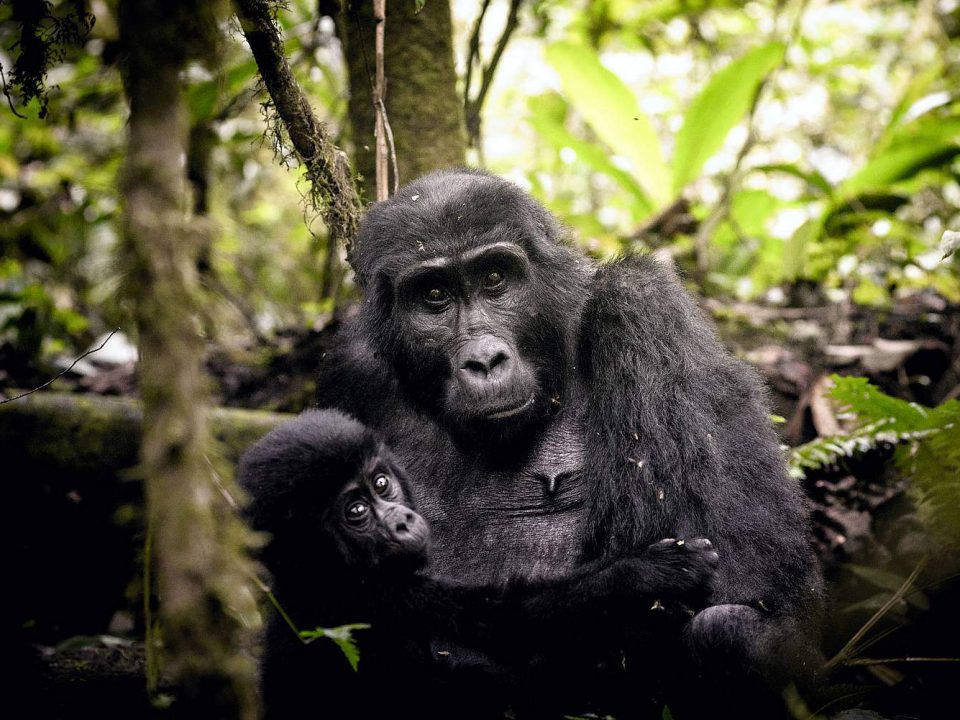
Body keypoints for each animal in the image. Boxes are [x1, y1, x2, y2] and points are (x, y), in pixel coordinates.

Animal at [240, 408, 720, 716]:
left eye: (381, 484)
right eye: (356, 511)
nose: (402, 521)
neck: (316, 572)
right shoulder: (376, 599)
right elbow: (510, 625)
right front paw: (645, 574)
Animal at [316, 167, 824, 716]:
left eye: (495, 279)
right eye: (433, 295)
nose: (485, 361)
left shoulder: (643, 306)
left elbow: (745, 568)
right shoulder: (349, 375)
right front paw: (632, 579)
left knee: (725, 630)